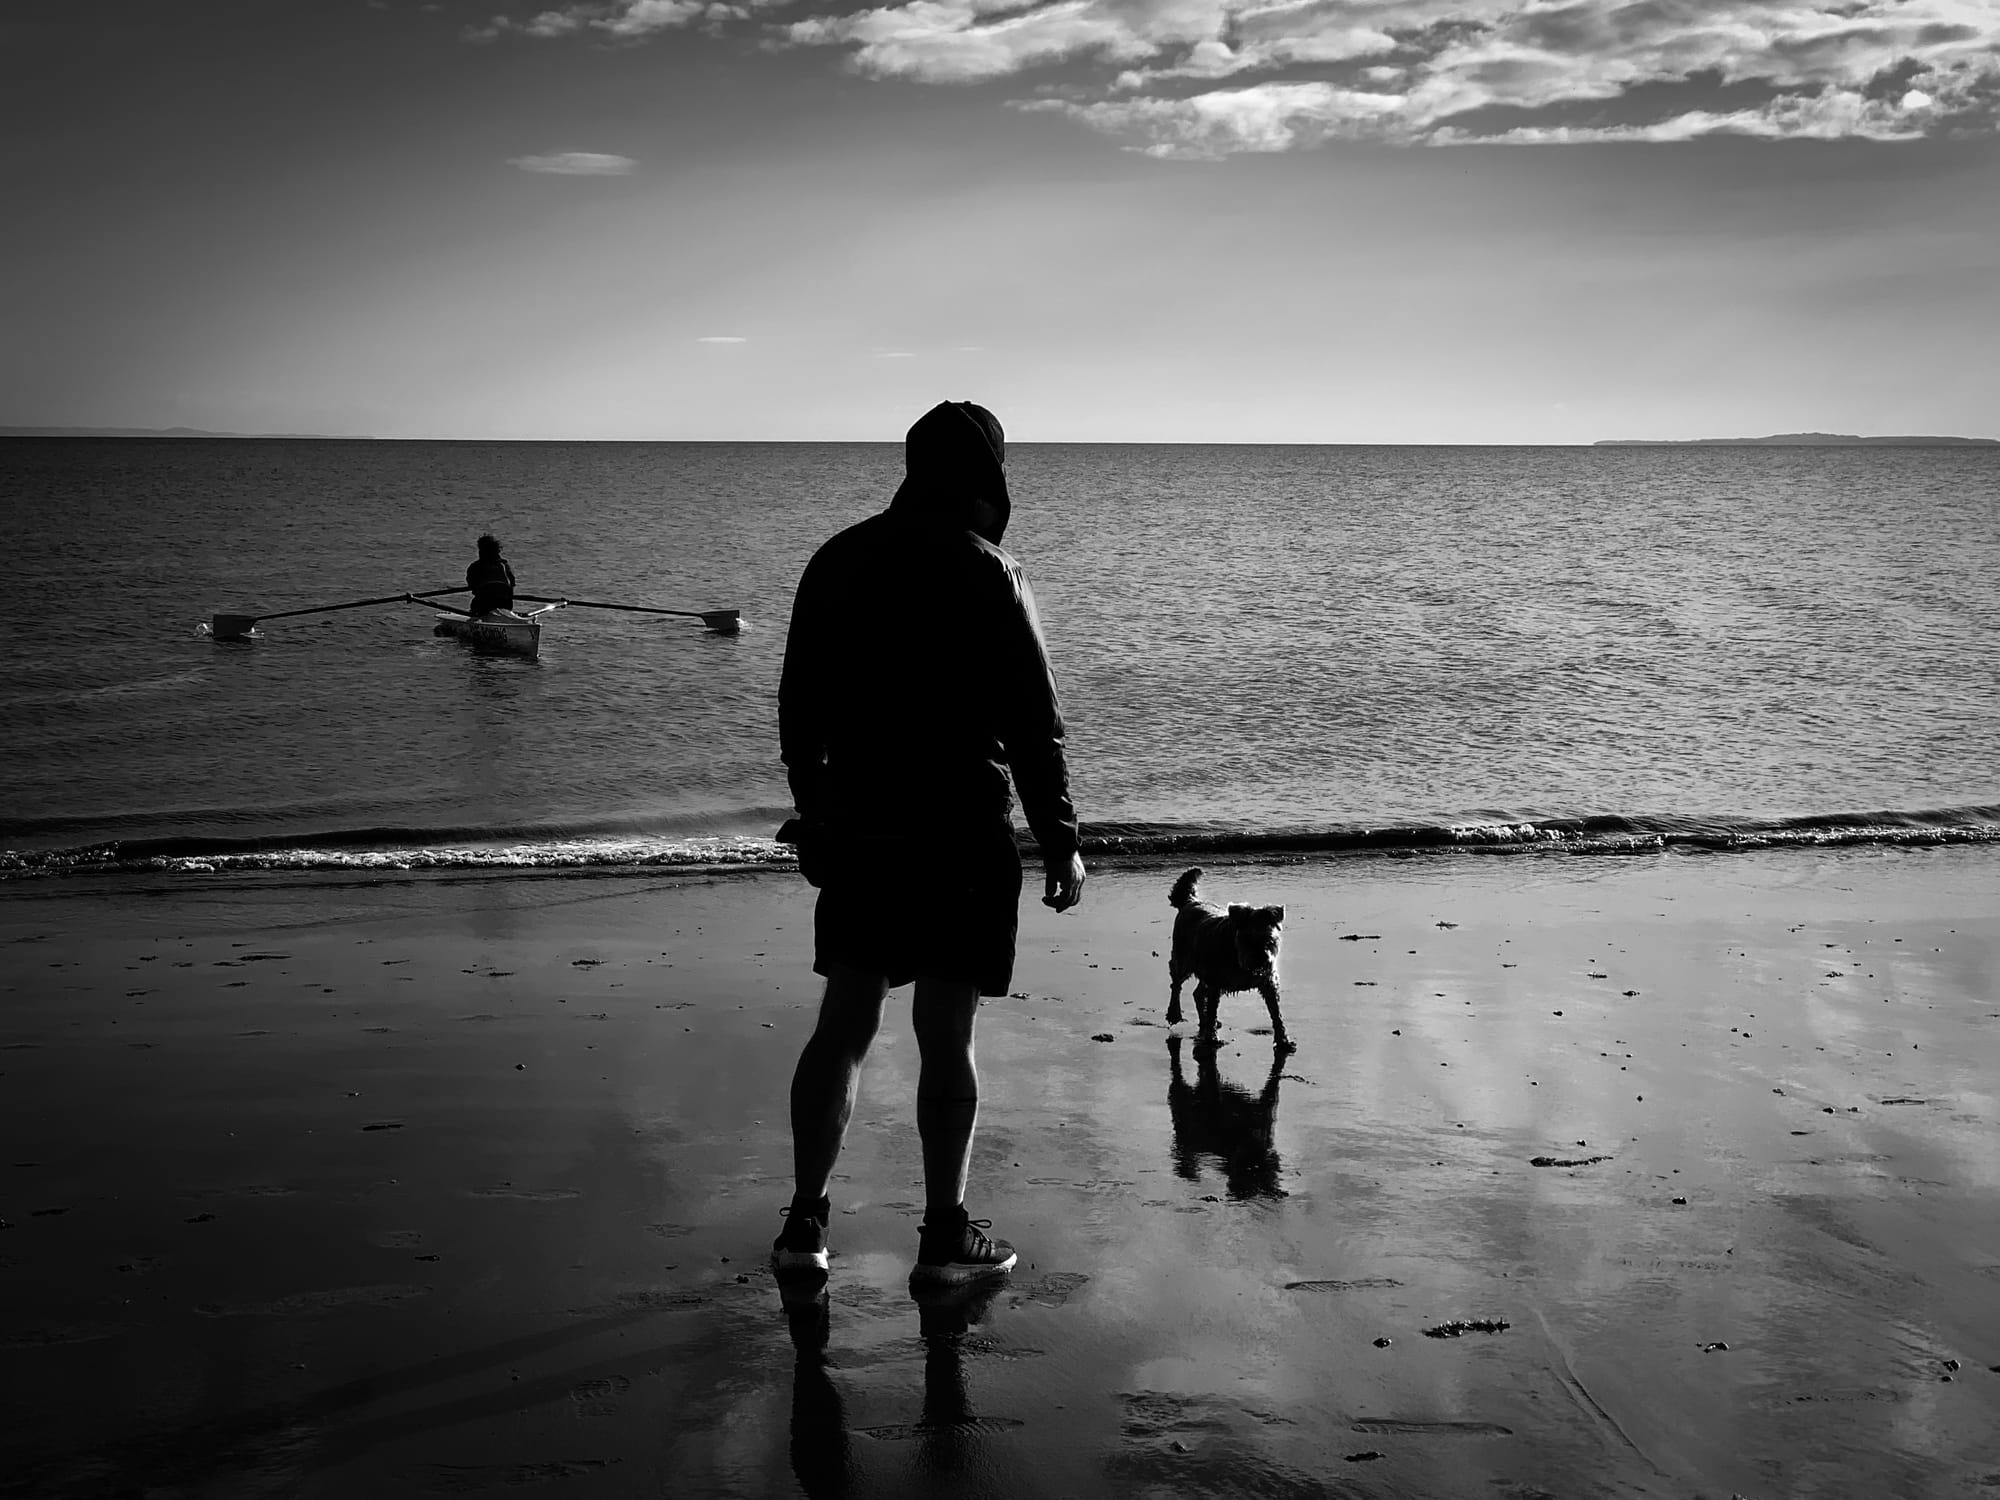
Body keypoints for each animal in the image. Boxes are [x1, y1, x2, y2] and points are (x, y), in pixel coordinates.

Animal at [1168, 868, 1288, 1056]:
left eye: (1269, 940)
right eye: (1246, 939)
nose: (1259, 960)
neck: (1238, 956)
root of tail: (1190, 901)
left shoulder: (1268, 982)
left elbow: (1276, 1013)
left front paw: (1283, 1040)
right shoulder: (1216, 982)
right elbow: (1212, 1010)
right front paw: (1211, 1039)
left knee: (1198, 993)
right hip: (1183, 958)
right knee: (1176, 983)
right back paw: (1174, 1013)